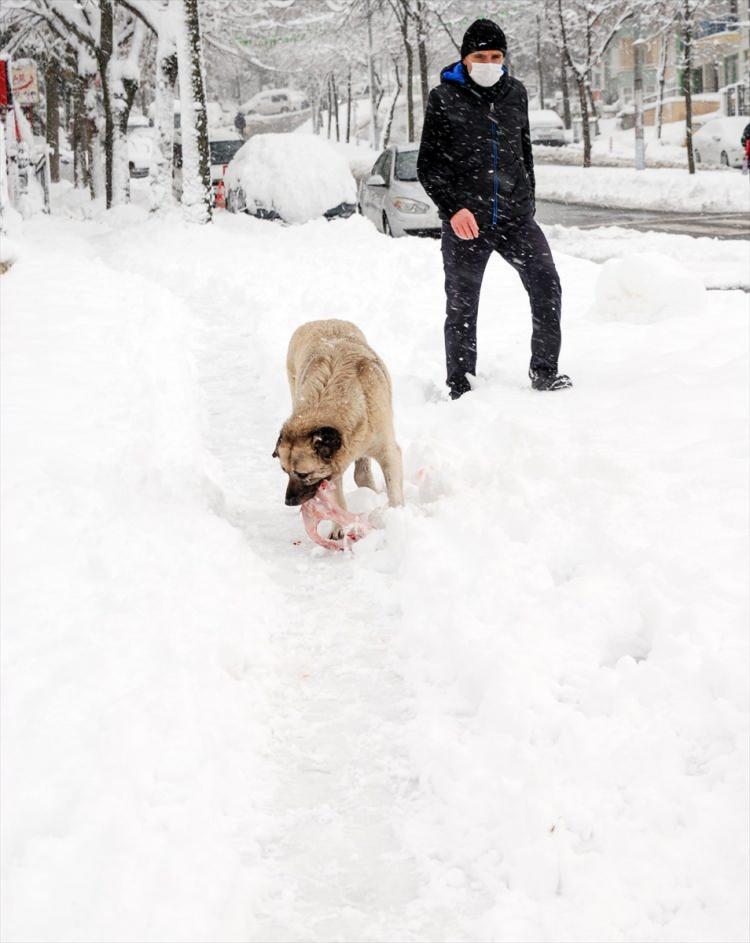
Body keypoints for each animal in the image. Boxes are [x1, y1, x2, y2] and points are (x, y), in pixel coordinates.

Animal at [273, 320, 403, 526]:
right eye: (285, 471)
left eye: (303, 474)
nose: (289, 501)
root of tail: (321, 321)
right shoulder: (333, 469)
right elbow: (338, 499)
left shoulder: (387, 450)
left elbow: (394, 489)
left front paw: (397, 516)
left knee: (362, 472)